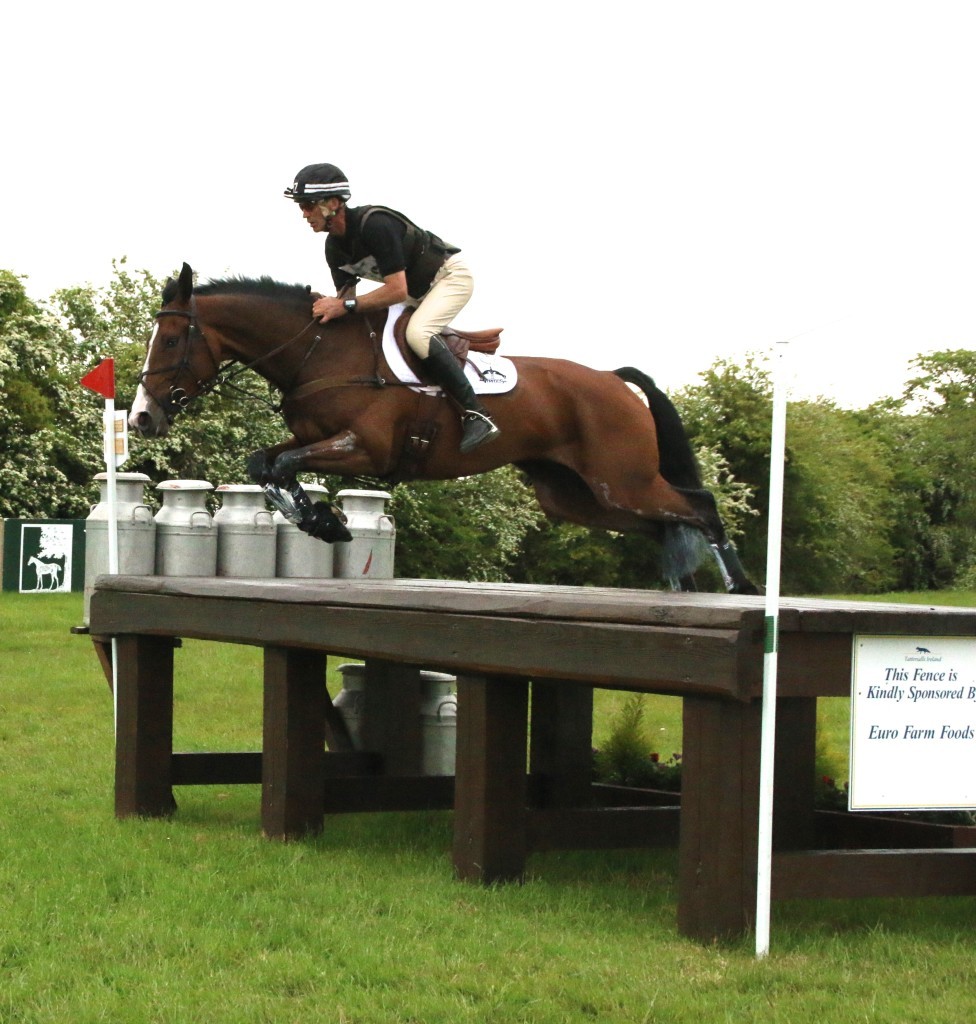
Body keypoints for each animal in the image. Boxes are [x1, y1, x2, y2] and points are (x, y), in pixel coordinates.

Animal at [129, 264, 757, 598]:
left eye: (171, 340)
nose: (142, 416)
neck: (319, 352)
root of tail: (611, 379)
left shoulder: (366, 449)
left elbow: (282, 465)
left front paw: (324, 521)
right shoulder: (314, 439)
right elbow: (265, 462)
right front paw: (321, 520)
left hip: (619, 479)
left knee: (699, 506)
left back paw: (741, 591)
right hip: (575, 496)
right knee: (664, 524)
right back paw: (685, 587)